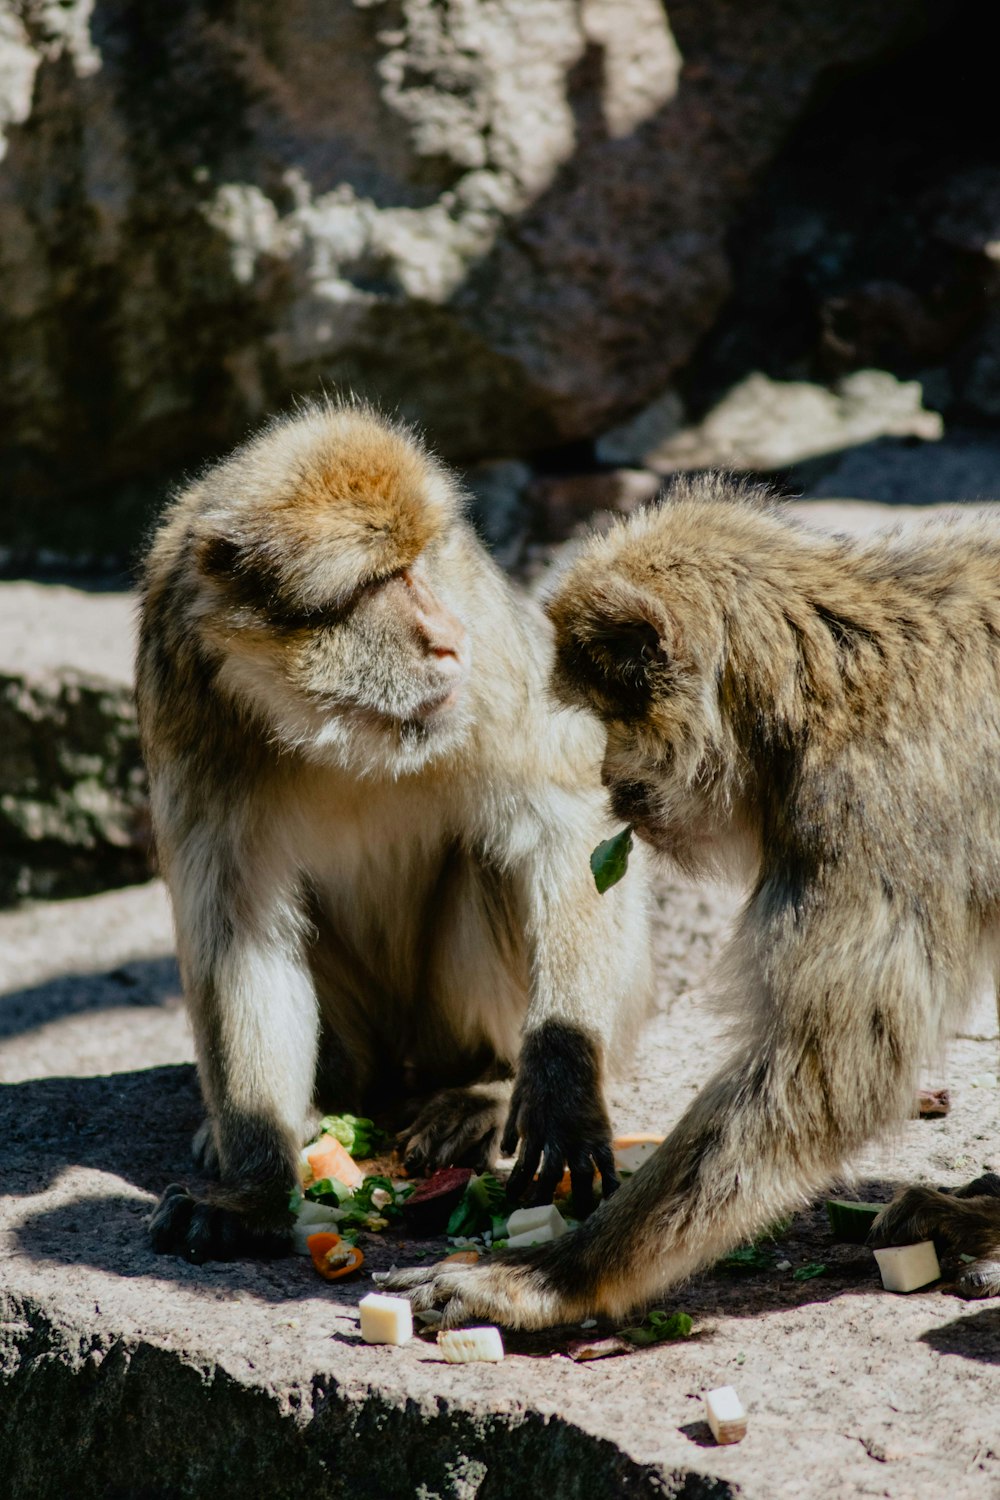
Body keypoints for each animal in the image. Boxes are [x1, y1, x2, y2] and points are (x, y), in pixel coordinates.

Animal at [138, 393, 656, 1260]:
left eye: (422, 566)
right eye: (383, 582)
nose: (446, 637)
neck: (328, 720)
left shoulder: (493, 659)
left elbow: (565, 834)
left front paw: (559, 1083)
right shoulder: (184, 691)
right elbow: (237, 931)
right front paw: (252, 1189)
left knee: (496, 858)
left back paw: (484, 1088)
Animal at [380, 477, 1000, 1326]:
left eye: (605, 718)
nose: (604, 775)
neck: (820, 683)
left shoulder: (867, 809)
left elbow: (825, 1077)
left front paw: (551, 1278)